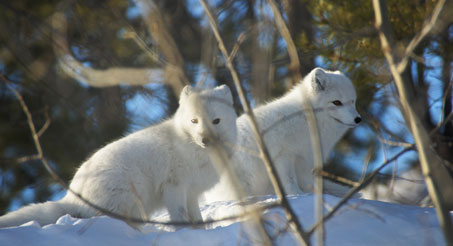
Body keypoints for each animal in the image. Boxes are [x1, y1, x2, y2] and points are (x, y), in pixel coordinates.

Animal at [0, 84, 238, 227]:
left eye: (216, 121)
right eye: (194, 121)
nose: (205, 140)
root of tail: (73, 197)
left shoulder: (192, 193)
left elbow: (196, 218)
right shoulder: (174, 186)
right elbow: (180, 217)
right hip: (130, 193)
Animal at [205, 67, 360, 202]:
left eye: (352, 101)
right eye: (337, 102)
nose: (358, 119)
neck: (307, 118)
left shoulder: (305, 161)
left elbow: (311, 185)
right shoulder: (283, 156)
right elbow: (290, 181)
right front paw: (297, 196)